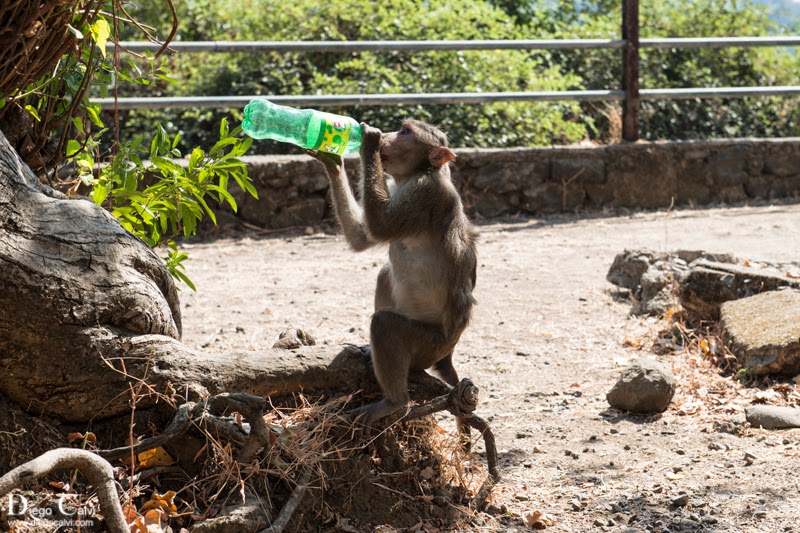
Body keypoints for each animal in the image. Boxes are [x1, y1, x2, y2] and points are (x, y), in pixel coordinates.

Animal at [310, 118, 478, 426]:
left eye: (405, 131)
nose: (386, 134)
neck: (414, 175)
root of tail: (447, 353)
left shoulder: (425, 193)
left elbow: (380, 227)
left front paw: (368, 141)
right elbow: (363, 237)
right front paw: (333, 160)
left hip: (427, 344)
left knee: (385, 324)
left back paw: (394, 402)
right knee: (385, 273)